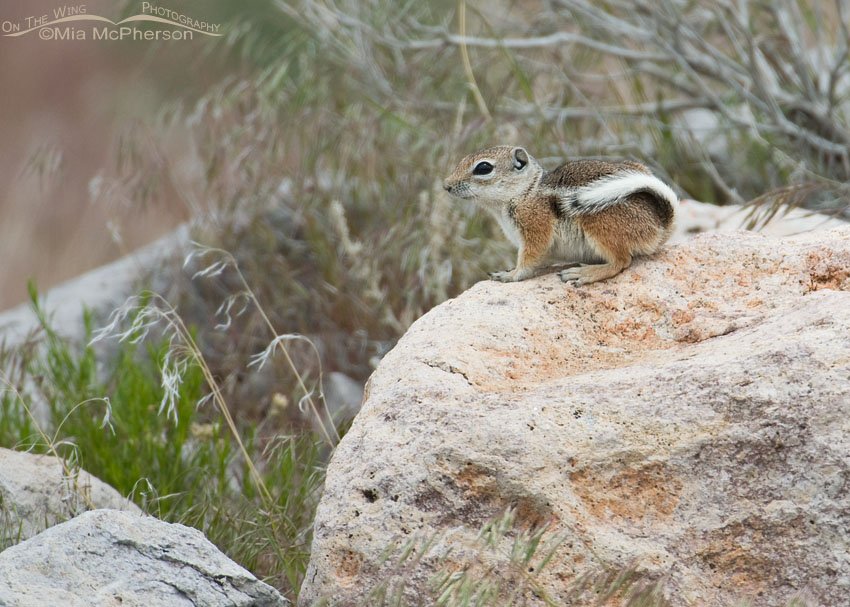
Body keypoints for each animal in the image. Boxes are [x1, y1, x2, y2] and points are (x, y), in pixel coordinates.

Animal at [443, 145, 678, 285]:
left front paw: (510, 275)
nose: (446, 185)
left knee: (622, 261)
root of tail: (661, 225)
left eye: (483, 168)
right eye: (462, 160)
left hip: (599, 222)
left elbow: (529, 259)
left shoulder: (534, 227)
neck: (527, 191)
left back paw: (584, 274)